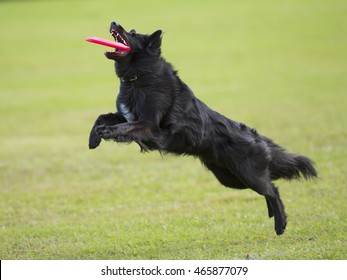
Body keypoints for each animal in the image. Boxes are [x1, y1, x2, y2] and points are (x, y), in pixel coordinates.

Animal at [89, 21, 318, 235]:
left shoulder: (150, 127)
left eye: (133, 34)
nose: (114, 22)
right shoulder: (125, 114)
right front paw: (93, 138)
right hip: (230, 178)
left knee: (273, 190)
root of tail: (257, 137)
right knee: (270, 185)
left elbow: (126, 127)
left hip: (247, 175)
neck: (138, 80)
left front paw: (106, 132)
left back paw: (280, 223)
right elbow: (103, 117)